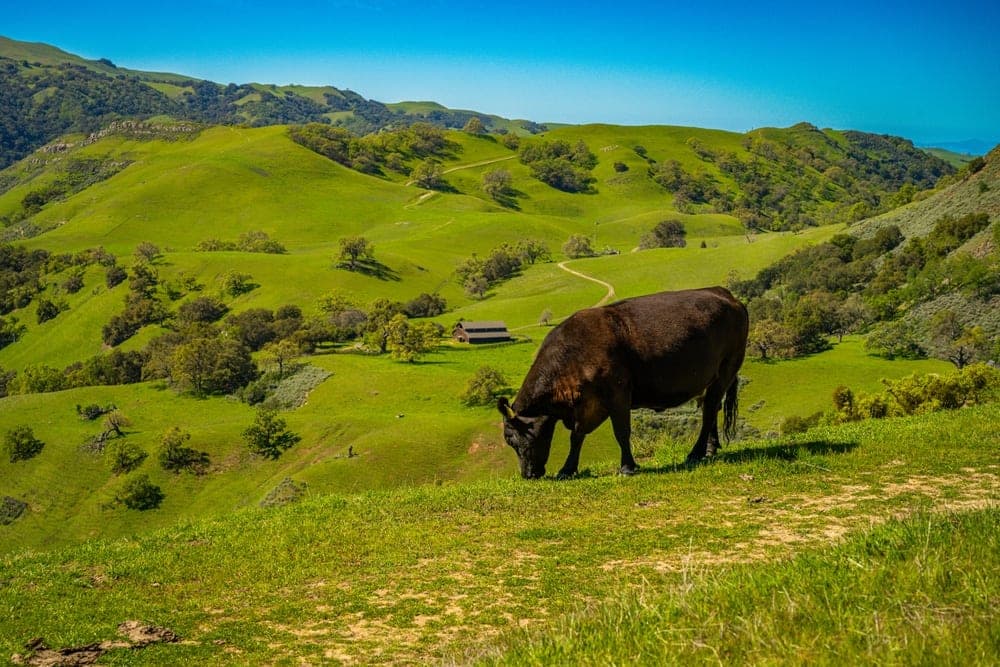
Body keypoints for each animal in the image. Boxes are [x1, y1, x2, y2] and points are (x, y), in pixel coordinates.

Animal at [497, 287, 748, 479]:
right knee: (712, 407)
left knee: (709, 411)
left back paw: (695, 453)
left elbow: (621, 432)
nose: (528, 475)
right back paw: (711, 448)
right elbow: (577, 436)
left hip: (728, 366)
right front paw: (567, 469)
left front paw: (627, 466)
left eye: (512, 439)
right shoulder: (587, 405)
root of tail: (726, 294)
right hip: (712, 377)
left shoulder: (617, 394)